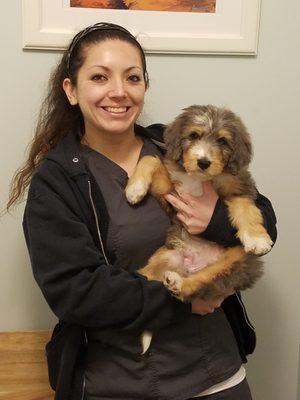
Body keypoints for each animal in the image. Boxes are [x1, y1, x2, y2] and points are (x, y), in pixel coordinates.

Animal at [125, 106, 274, 300]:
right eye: (194, 135)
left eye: (222, 141)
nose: (203, 162)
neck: (200, 179)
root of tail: (193, 265)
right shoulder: (171, 192)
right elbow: (150, 159)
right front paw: (134, 189)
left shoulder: (241, 189)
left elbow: (247, 210)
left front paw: (257, 240)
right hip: (165, 255)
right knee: (148, 274)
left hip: (233, 259)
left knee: (200, 282)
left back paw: (179, 284)